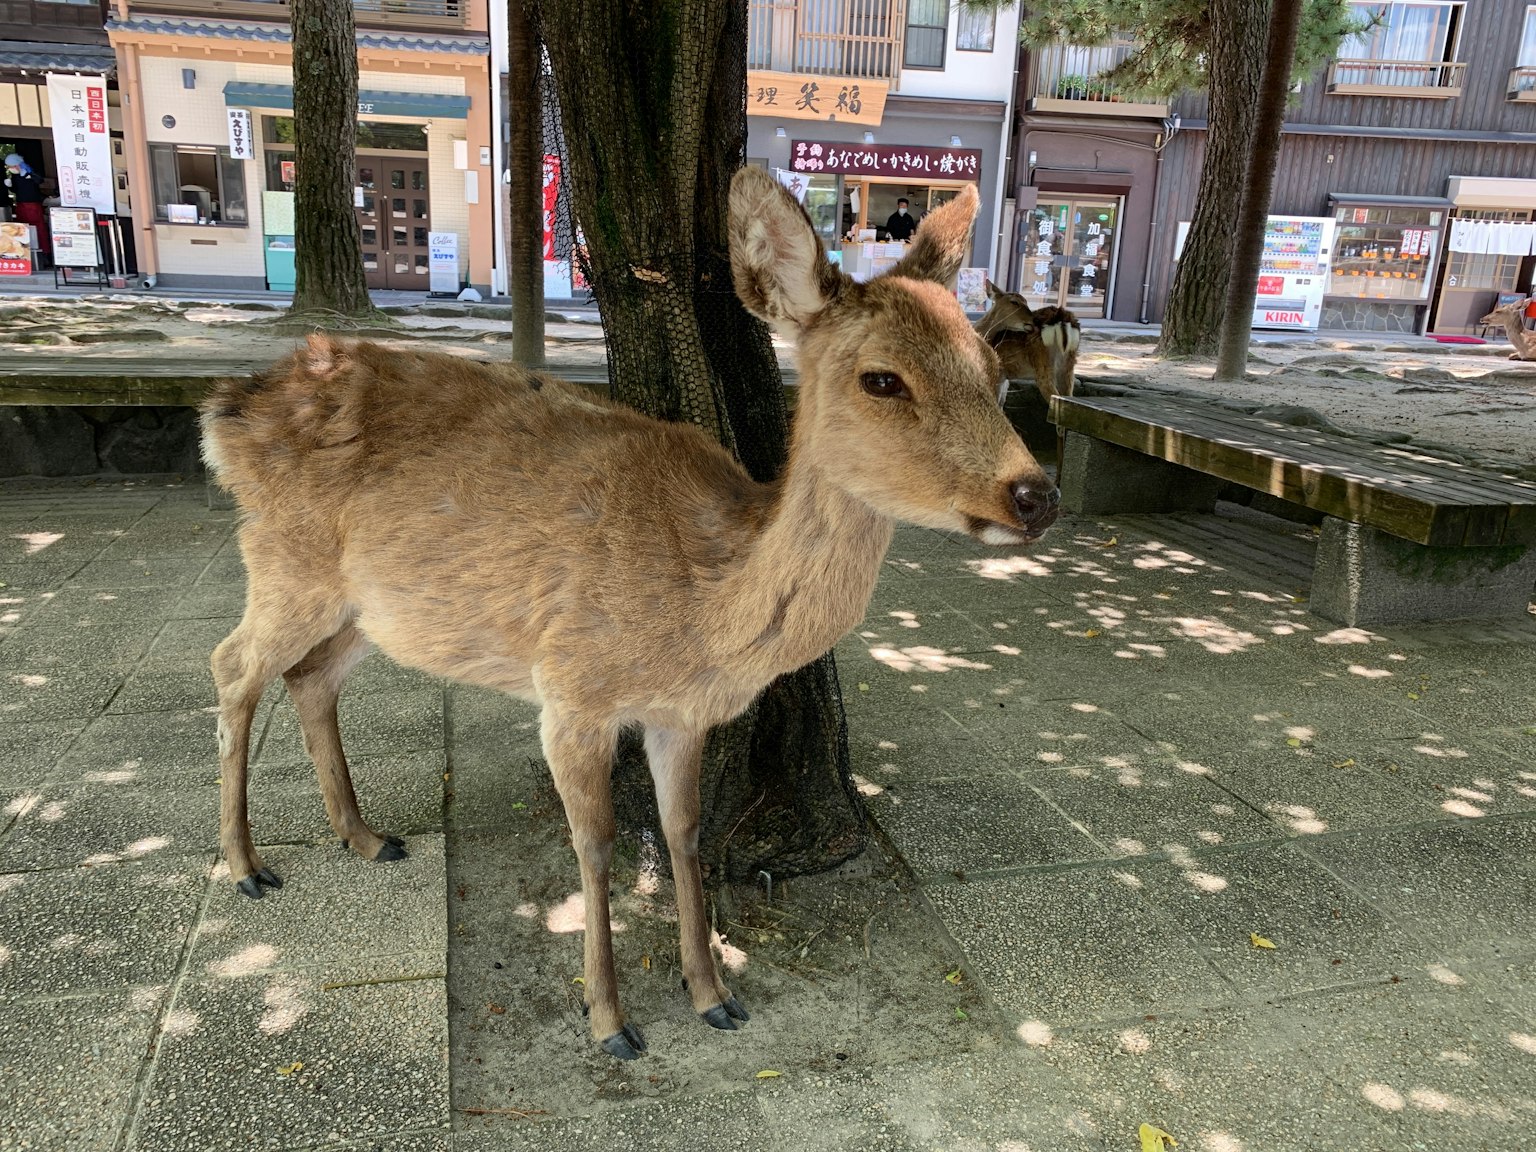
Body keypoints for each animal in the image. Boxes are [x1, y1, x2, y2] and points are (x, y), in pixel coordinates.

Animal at [199, 166, 1059, 1063]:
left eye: (992, 367)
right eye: (883, 378)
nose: (1036, 495)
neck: (703, 612)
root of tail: (224, 411)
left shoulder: (681, 716)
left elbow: (683, 833)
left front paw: (713, 993)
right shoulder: (571, 691)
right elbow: (599, 840)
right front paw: (611, 1020)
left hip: (368, 610)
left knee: (309, 676)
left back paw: (365, 837)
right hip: (285, 563)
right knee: (232, 665)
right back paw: (246, 866)